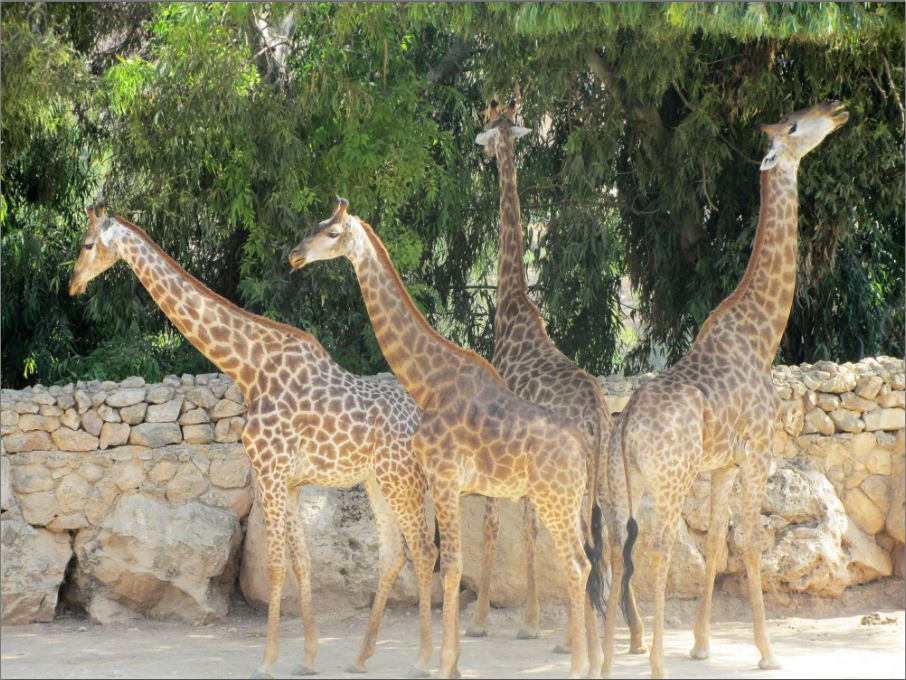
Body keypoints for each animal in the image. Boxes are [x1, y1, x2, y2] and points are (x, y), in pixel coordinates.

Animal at [68, 207, 439, 679]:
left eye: (88, 244)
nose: (73, 283)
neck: (248, 368)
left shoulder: (270, 470)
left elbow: (276, 565)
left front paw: (267, 661)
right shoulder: (291, 481)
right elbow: (302, 562)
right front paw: (309, 657)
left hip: (401, 479)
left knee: (424, 550)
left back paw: (424, 659)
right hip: (378, 481)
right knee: (393, 554)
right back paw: (360, 658)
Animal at [290, 199, 606, 679]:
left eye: (331, 233)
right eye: (314, 225)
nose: (295, 255)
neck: (428, 381)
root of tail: (582, 445)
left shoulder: (442, 477)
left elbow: (452, 567)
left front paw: (442, 665)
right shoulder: (451, 484)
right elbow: (451, 567)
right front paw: (450, 663)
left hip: (554, 499)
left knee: (576, 563)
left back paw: (576, 666)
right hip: (571, 501)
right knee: (588, 559)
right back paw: (593, 665)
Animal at [468, 99, 646, 655]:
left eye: (488, 134)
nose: (482, 153)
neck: (511, 307)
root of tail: (597, 418)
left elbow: (499, 528)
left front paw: (491, 621)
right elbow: (528, 531)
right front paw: (531, 620)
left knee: (586, 543)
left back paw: (578, 639)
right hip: (605, 472)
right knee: (614, 537)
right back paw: (631, 636)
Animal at [601, 102, 849, 679]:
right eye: (795, 126)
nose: (835, 109)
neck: (762, 336)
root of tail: (627, 424)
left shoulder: (721, 468)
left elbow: (716, 545)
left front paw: (701, 645)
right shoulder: (758, 454)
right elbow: (751, 544)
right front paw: (766, 651)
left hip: (627, 481)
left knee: (617, 546)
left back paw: (603, 660)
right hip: (669, 481)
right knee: (657, 551)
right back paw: (654, 663)